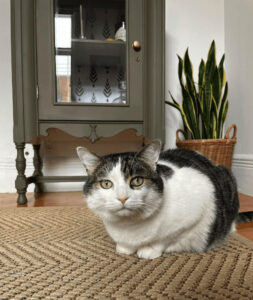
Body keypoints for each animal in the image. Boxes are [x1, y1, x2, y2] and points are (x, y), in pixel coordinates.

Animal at [76, 142, 253, 258]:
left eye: (137, 181)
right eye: (106, 184)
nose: (122, 197)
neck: (129, 226)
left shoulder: (198, 206)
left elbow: (166, 238)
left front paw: (149, 250)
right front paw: (124, 248)